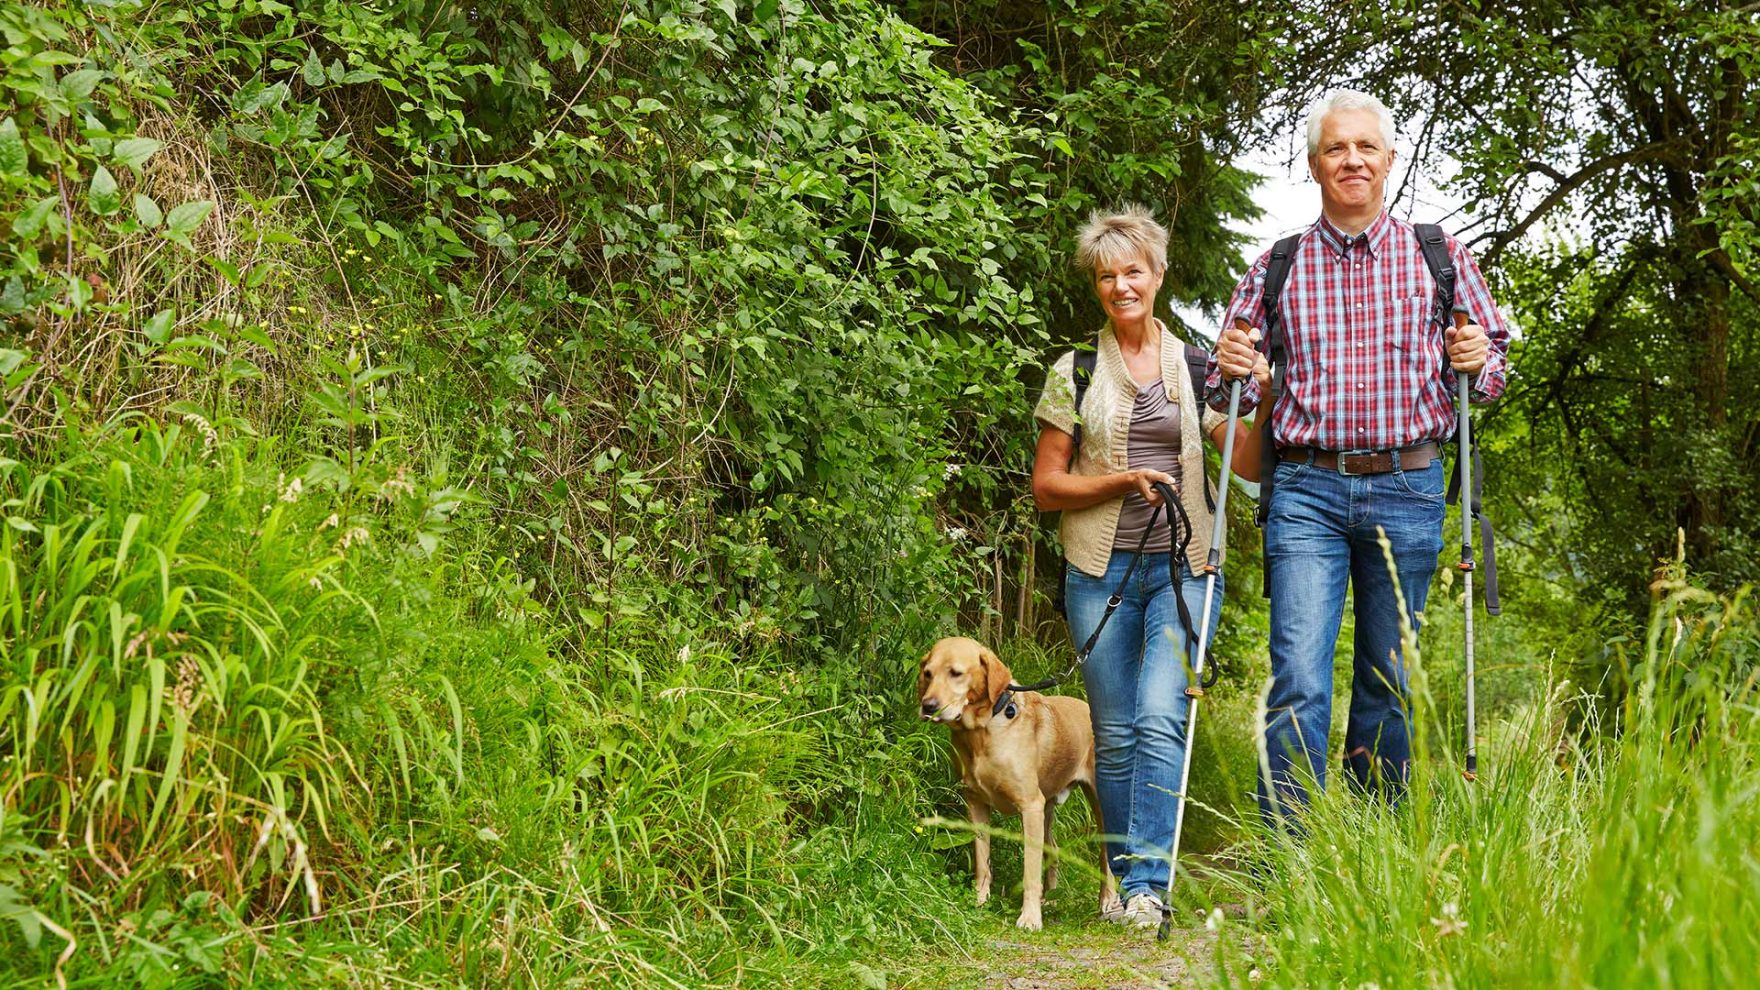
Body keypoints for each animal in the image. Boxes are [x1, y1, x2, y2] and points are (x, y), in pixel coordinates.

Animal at [922, 630, 1112, 923]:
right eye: (928, 673)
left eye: (956, 673)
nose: (928, 706)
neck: (982, 731)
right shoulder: (976, 804)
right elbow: (983, 862)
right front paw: (979, 902)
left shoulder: (1029, 806)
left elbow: (1030, 872)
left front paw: (1030, 918)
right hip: (1046, 811)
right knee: (1054, 848)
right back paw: (1052, 898)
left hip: (1097, 804)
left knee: (1107, 857)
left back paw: (1108, 902)